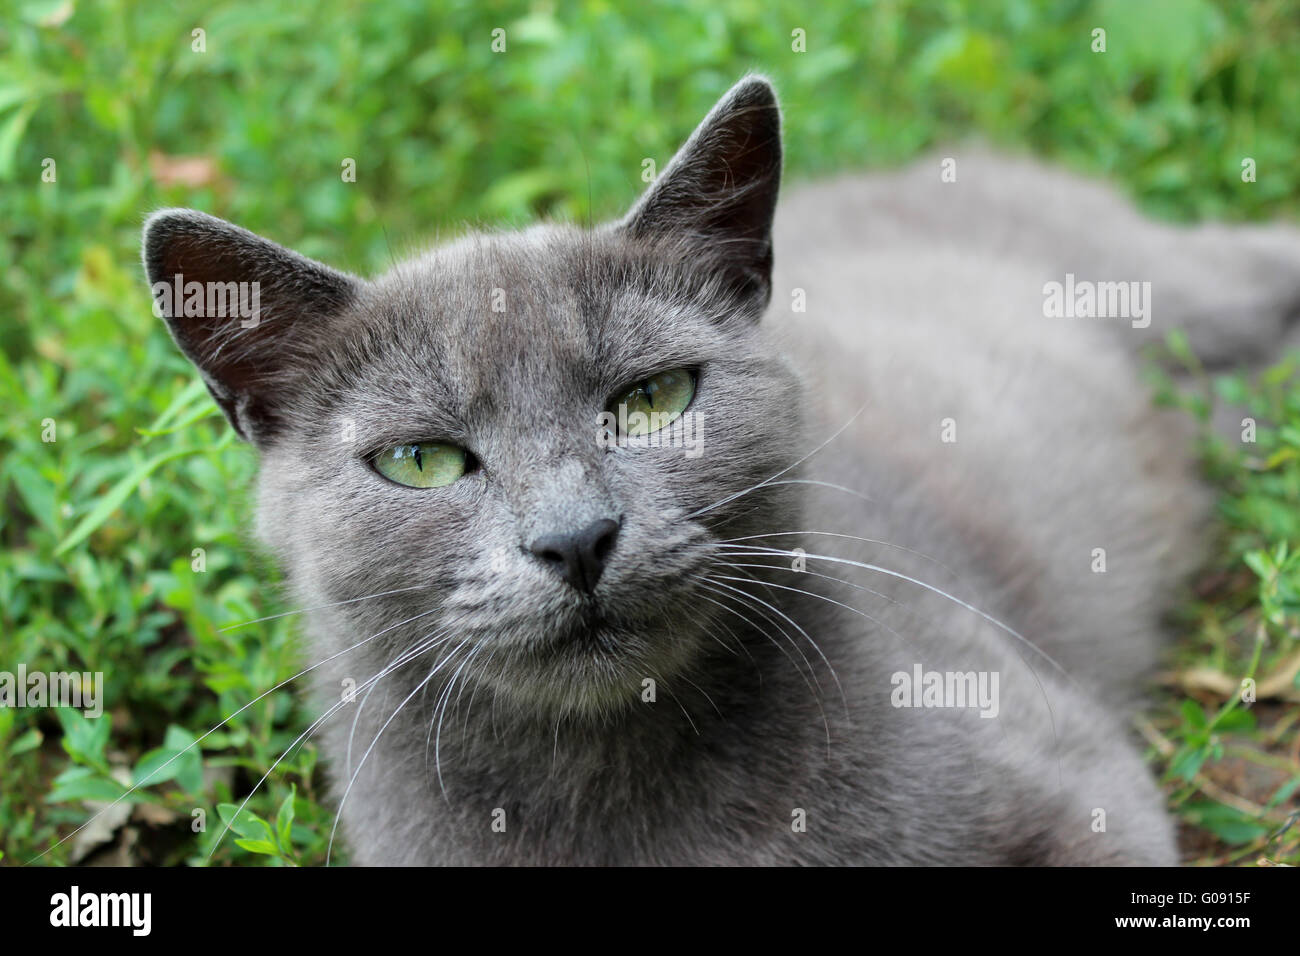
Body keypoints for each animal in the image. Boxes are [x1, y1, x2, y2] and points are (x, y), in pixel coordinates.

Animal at [142, 76, 1300, 868]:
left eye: (655, 397)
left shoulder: (1080, 784)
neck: (611, 785)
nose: (575, 538)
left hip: (1177, 281)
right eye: (420, 461)